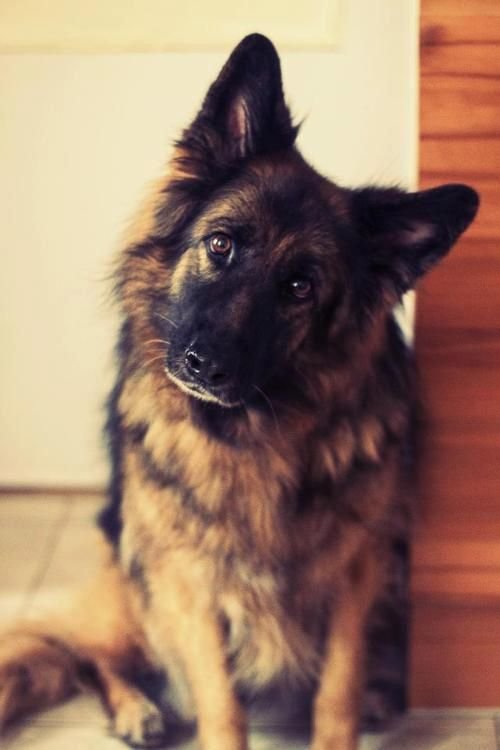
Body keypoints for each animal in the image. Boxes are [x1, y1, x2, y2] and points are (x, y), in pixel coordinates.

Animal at [0, 33, 476, 750]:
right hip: (133, 582)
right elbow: (221, 703)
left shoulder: (358, 572)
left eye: (300, 287)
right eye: (220, 244)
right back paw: (135, 708)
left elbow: (337, 689)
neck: (255, 436)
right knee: (86, 654)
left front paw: (347, 716)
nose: (205, 365)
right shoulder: (189, 583)